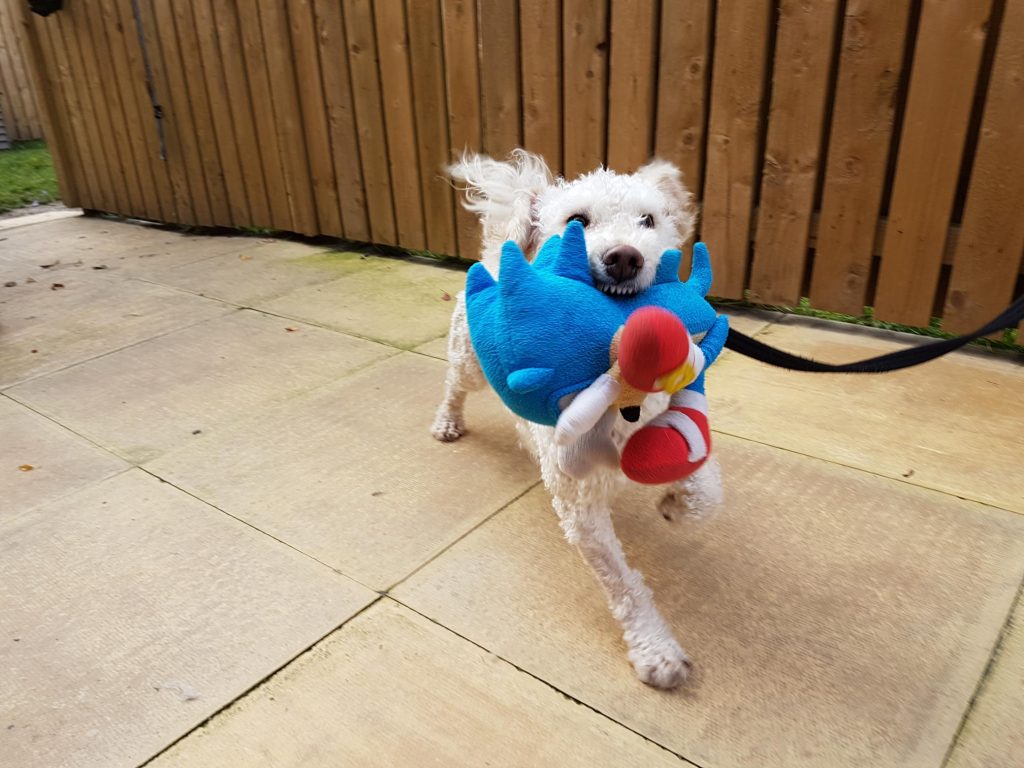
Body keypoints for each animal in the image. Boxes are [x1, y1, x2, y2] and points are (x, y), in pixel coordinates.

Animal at [428, 150, 724, 692]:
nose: (625, 257)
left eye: (649, 220)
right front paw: (657, 652)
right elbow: (623, 582)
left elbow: (707, 492)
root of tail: (499, 248)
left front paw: (675, 504)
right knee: (454, 385)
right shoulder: (582, 507)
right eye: (578, 222)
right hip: (469, 360)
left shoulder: (680, 424)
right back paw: (447, 422)